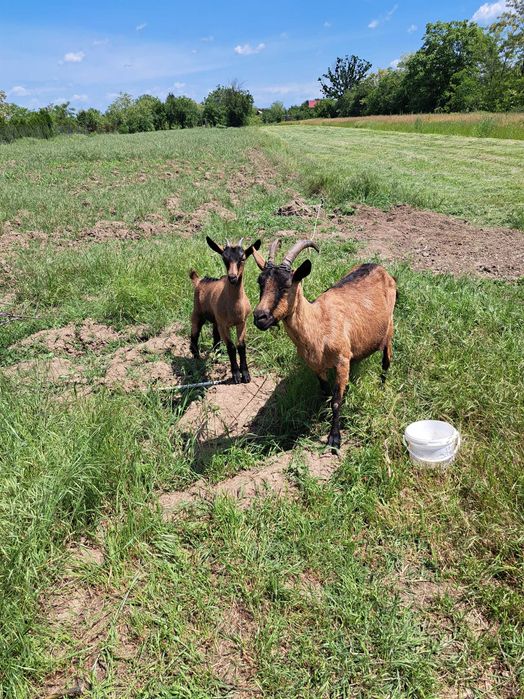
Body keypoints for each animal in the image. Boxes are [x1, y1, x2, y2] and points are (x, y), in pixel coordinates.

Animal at [190, 236, 261, 384]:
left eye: (242, 258)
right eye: (224, 258)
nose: (232, 277)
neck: (234, 307)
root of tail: (199, 281)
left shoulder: (242, 323)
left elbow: (241, 345)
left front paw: (246, 374)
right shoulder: (224, 325)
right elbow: (231, 347)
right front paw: (236, 375)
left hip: (216, 319)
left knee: (215, 335)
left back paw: (216, 354)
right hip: (198, 313)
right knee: (194, 333)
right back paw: (196, 356)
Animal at [252, 240, 397, 450]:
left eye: (287, 285)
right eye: (260, 282)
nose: (260, 317)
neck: (318, 325)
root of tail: (378, 266)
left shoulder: (342, 360)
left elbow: (336, 401)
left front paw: (334, 438)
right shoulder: (316, 366)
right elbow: (326, 392)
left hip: (389, 326)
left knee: (386, 359)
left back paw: (382, 384)